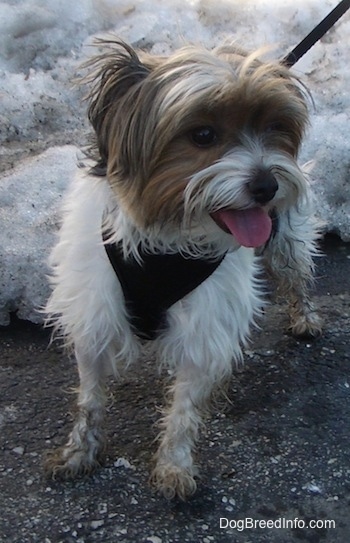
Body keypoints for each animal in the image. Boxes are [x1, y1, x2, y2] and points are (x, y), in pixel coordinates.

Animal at [44, 40, 322, 502]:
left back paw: (305, 317)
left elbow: (185, 407)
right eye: (203, 135)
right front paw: (80, 451)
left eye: (274, 126)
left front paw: (174, 465)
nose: (267, 186)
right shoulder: (94, 311)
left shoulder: (205, 323)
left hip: (286, 239)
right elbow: (90, 396)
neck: (168, 239)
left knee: (295, 275)